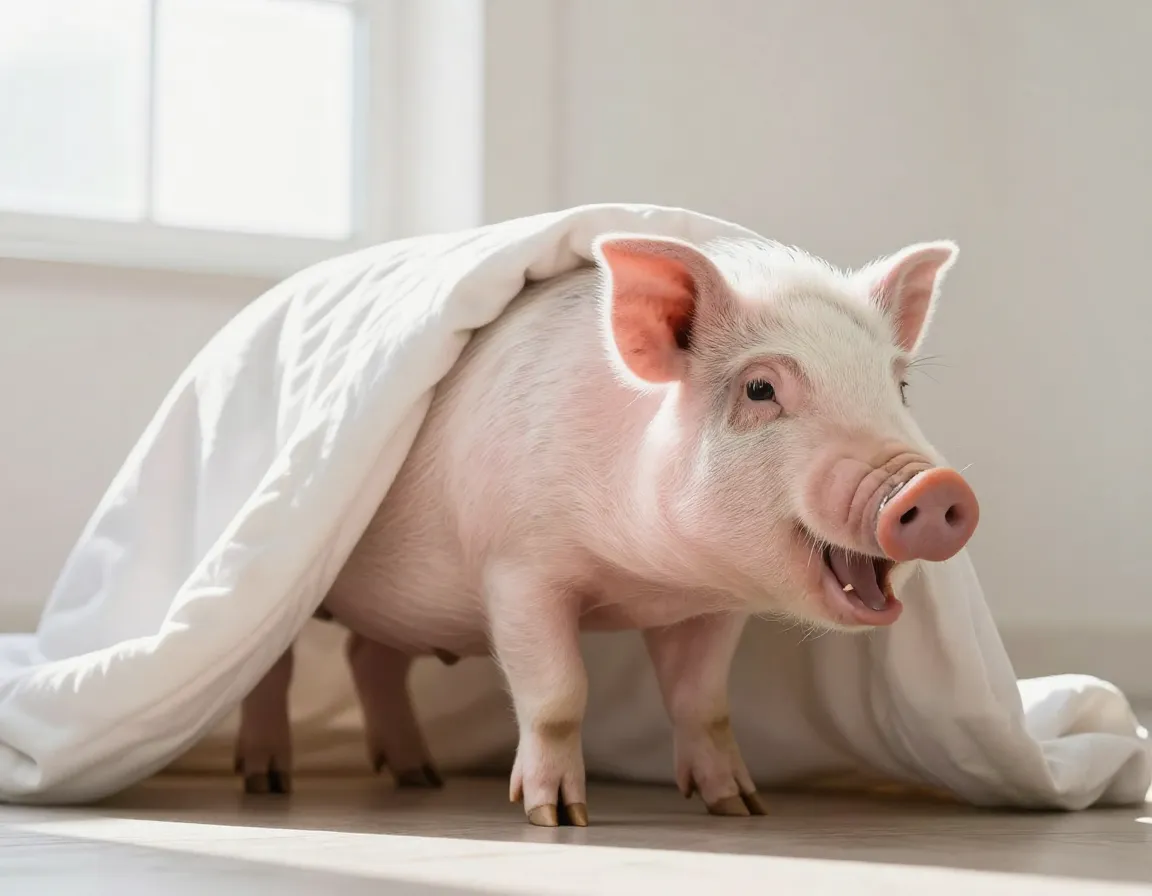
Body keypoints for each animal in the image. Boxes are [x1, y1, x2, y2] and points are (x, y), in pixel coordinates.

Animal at [236, 233, 979, 826]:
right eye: (761, 390)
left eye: (900, 389)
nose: (935, 487)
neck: (646, 578)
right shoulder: (516, 570)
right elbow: (558, 693)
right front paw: (558, 818)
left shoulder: (715, 607)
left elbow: (704, 702)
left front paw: (741, 807)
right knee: (274, 666)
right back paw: (267, 782)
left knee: (372, 656)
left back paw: (421, 777)